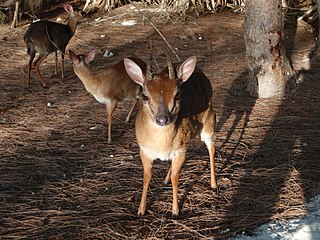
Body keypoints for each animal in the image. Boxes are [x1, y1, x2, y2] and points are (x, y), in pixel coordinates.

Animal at [123, 55, 218, 216]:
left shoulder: (181, 150)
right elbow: (146, 177)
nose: (162, 119)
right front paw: (141, 209)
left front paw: (175, 210)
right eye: (145, 95)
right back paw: (165, 179)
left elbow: (175, 178)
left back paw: (214, 184)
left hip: (209, 121)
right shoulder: (144, 150)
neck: (160, 145)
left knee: (211, 149)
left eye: (178, 94)